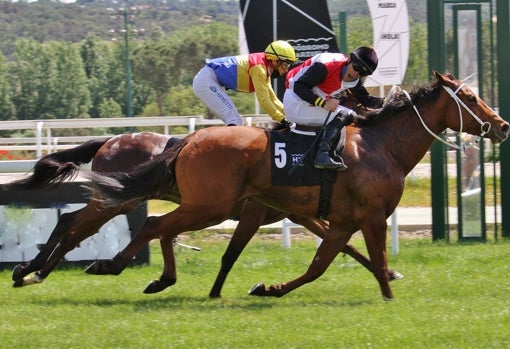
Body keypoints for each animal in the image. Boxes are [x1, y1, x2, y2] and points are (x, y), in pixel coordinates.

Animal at [4, 132, 402, 294]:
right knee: (74, 224)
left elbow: (342, 244)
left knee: (75, 225)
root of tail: (110, 140)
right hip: (122, 198)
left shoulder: (293, 212)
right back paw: (32, 270)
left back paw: (33, 271)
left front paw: (388, 272)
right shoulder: (265, 210)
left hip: (122, 198)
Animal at [85, 71, 508, 300]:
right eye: (470, 96)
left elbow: (319, 265)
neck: (381, 146)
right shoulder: (372, 216)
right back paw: (111, 264)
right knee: (155, 224)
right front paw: (390, 298)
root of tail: (189, 140)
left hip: (208, 206)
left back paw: (148, 275)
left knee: (159, 226)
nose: (502, 126)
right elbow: (376, 259)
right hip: (210, 206)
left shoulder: (341, 222)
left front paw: (266, 289)